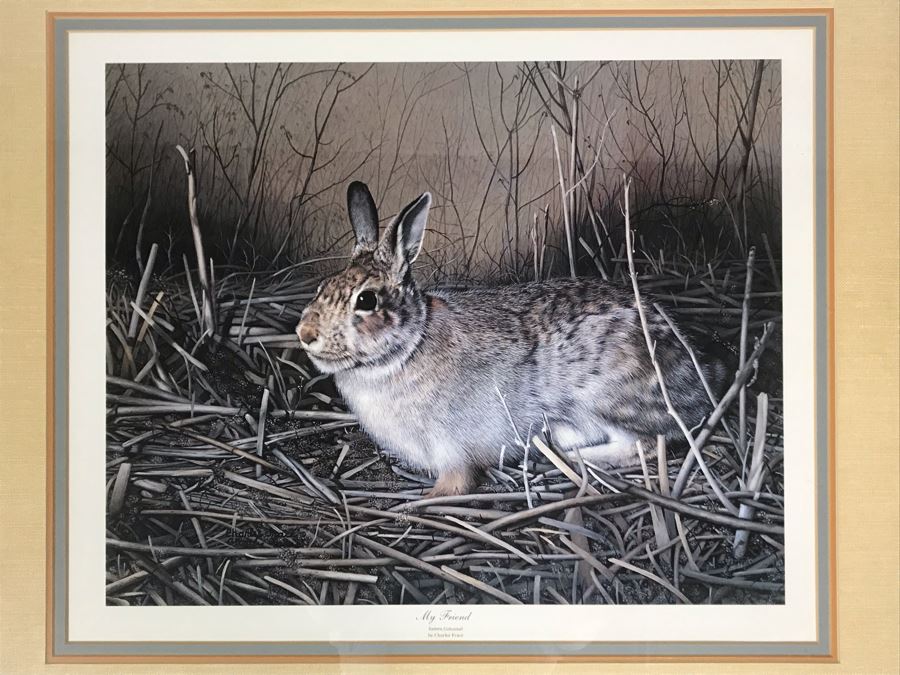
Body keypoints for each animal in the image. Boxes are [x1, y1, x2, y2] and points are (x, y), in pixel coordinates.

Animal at [296, 181, 728, 497]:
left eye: (366, 300)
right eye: (322, 287)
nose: (305, 334)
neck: (409, 347)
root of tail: (702, 380)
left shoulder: (452, 449)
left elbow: (455, 483)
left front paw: (426, 501)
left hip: (609, 395)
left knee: (647, 444)